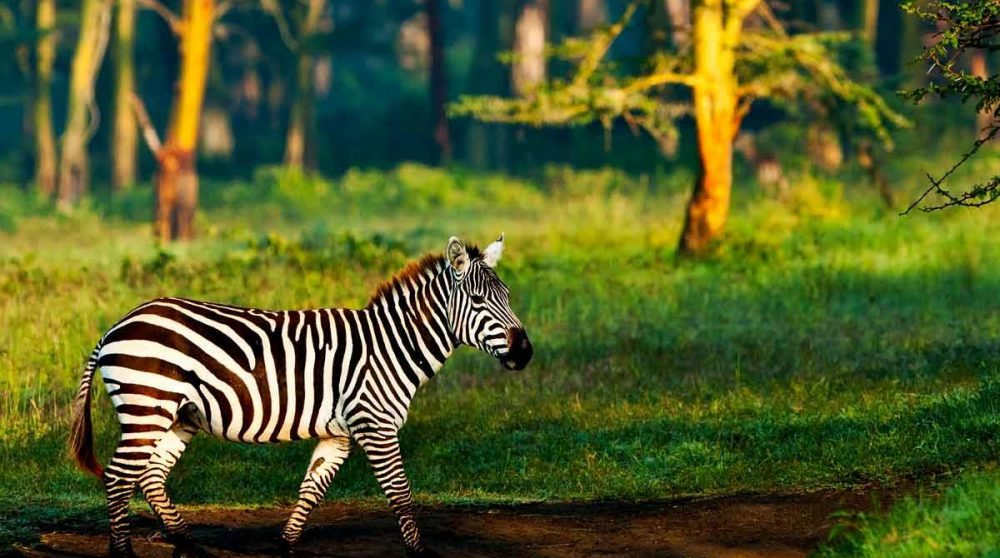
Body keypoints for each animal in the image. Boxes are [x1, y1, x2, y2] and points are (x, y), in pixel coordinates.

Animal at [69, 235, 533, 557]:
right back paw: (125, 552)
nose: (525, 352)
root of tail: (118, 324)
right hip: (146, 407)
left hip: (178, 415)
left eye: (508, 297)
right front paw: (420, 551)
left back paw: (189, 542)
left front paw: (286, 544)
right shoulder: (376, 425)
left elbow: (312, 487)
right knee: (119, 477)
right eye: (479, 300)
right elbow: (400, 493)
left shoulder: (340, 432)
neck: (391, 345)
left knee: (151, 475)